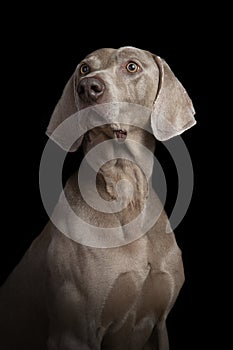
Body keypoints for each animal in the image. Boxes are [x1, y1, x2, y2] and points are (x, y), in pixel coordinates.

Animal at [0, 47, 196, 350]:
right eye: (84, 68)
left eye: (131, 66)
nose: (88, 87)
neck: (126, 195)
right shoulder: (75, 332)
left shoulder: (159, 325)